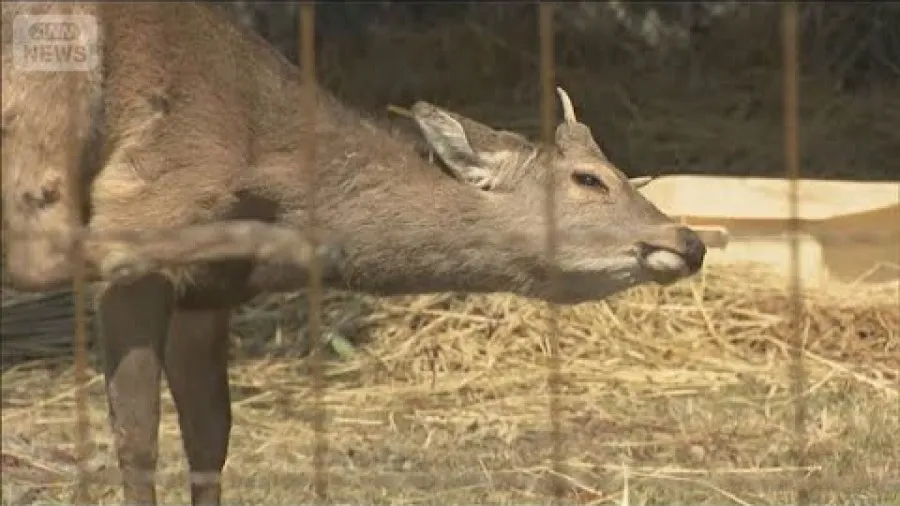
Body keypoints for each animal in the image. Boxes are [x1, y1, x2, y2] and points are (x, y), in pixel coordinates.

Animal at [1, 2, 706, 505]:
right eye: (590, 178)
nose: (688, 241)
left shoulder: (209, 297)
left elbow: (210, 438)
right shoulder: (147, 203)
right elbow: (138, 438)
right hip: (50, 105)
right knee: (42, 243)